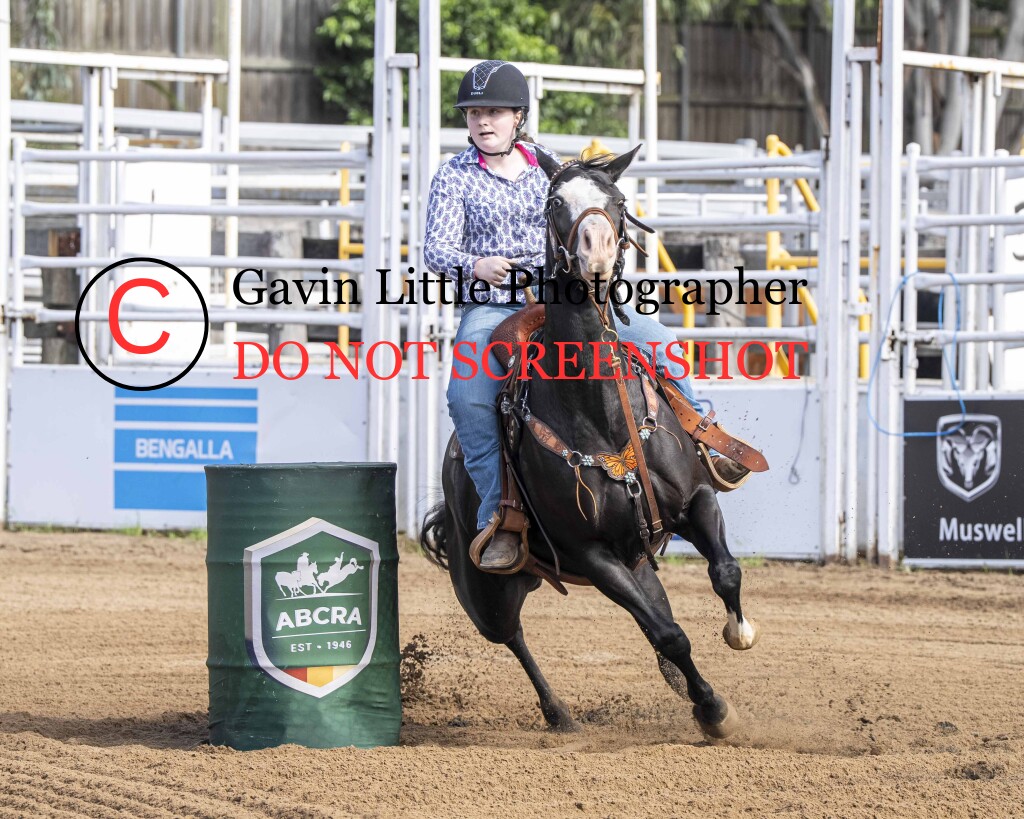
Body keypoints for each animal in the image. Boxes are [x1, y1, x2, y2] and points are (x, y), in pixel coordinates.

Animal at [420, 146, 760, 738]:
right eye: (555, 202)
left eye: (618, 201)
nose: (597, 254)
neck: (603, 415)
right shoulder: (591, 553)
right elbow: (669, 633)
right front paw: (714, 711)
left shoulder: (695, 501)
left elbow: (724, 572)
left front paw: (736, 638)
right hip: (482, 587)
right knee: (512, 635)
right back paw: (559, 713)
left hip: (637, 559)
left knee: (656, 609)